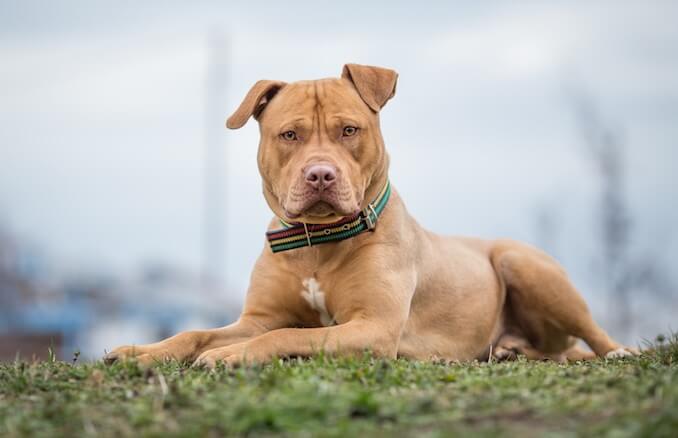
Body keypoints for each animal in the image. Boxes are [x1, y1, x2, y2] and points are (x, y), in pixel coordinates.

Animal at [103, 63, 636, 368]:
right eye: (289, 135)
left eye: (349, 130)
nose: (320, 175)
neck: (317, 243)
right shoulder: (257, 317)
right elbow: (198, 331)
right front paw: (140, 352)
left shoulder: (373, 326)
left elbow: (282, 336)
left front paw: (230, 355)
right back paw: (511, 349)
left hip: (521, 262)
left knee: (593, 335)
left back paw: (618, 352)